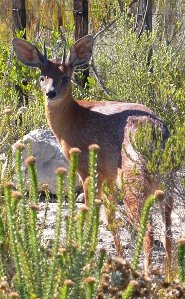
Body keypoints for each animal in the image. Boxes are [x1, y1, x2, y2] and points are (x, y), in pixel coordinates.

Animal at [12, 34, 172, 274]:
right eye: (42, 77)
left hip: (132, 177)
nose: (50, 93)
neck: (73, 120)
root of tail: (158, 131)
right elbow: (110, 217)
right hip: (163, 181)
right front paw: (118, 258)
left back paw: (146, 272)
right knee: (169, 227)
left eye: (66, 77)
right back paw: (171, 272)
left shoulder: (87, 168)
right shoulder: (108, 173)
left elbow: (87, 211)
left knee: (149, 228)